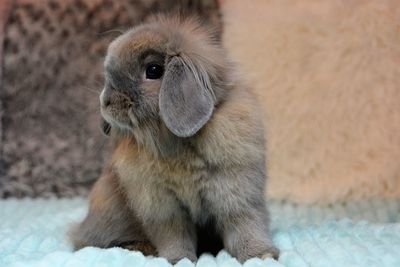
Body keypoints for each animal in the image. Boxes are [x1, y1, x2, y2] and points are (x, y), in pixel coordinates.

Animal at [69, 15, 280, 264]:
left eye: (153, 70)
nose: (106, 101)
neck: (175, 141)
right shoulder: (163, 207)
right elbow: (174, 236)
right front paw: (179, 260)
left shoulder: (236, 194)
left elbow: (245, 225)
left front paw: (261, 255)